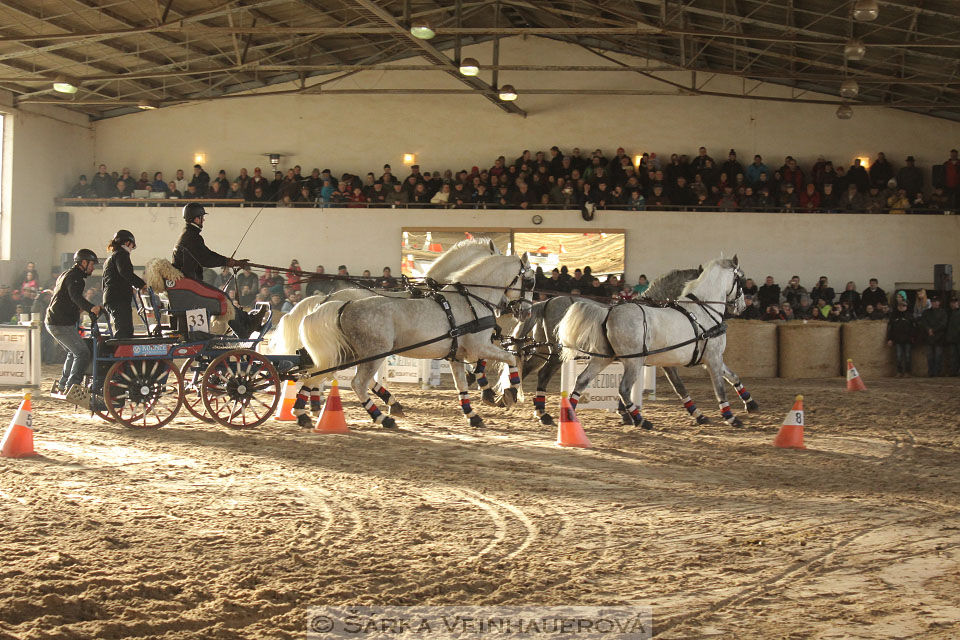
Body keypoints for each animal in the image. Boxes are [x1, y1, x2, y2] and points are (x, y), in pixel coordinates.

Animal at [302, 252, 532, 428]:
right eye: (530, 280)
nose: (525, 311)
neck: (471, 300)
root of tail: (344, 306)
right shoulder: (480, 347)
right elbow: (510, 358)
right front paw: (510, 392)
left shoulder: (457, 356)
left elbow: (461, 385)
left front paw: (473, 415)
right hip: (374, 353)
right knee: (358, 383)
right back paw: (383, 418)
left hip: (348, 353)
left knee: (318, 374)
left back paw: (303, 410)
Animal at [556, 255, 752, 430]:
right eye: (741, 280)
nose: (742, 307)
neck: (703, 310)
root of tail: (609, 312)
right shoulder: (713, 357)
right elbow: (719, 388)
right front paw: (731, 417)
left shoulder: (705, 359)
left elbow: (729, 376)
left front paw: (749, 403)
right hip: (633, 362)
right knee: (624, 389)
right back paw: (641, 420)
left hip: (604, 358)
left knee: (582, 380)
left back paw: (569, 415)